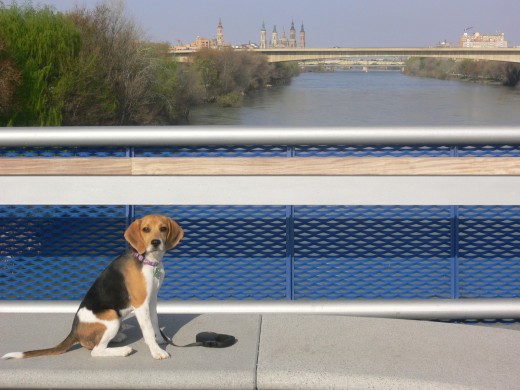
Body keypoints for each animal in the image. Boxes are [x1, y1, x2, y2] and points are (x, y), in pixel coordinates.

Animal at [2, 215, 184, 362]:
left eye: (163, 228)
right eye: (146, 229)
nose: (156, 242)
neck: (149, 261)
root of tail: (74, 330)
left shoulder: (151, 299)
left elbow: (155, 323)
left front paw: (160, 340)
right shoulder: (140, 304)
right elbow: (148, 330)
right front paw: (156, 351)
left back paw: (117, 338)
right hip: (112, 315)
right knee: (96, 351)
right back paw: (123, 350)